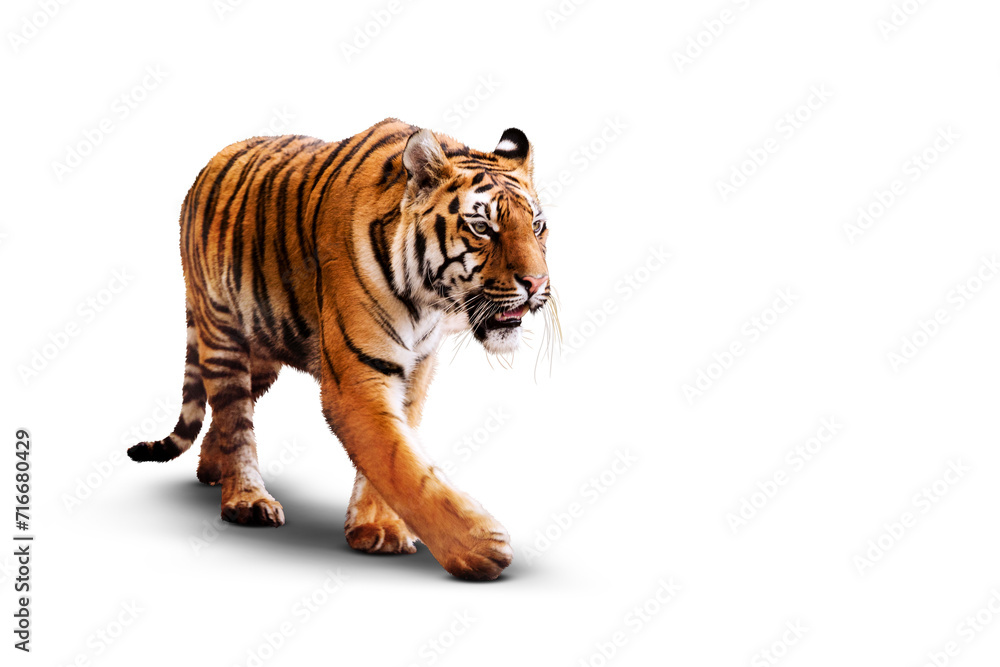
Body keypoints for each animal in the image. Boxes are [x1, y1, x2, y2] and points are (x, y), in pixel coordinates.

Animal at [126, 118, 556, 581]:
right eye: (481, 228)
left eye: (537, 226)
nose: (536, 284)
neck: (428, 303)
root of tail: (208, 166)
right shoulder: (357, 381)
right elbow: (399, 462)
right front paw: (478, 547)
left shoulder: (414, 370)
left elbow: (395, 455)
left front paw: (376, 529)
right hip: (222, 333)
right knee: (234, 419)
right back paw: (246, 499)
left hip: (262, 352)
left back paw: (212, 469)